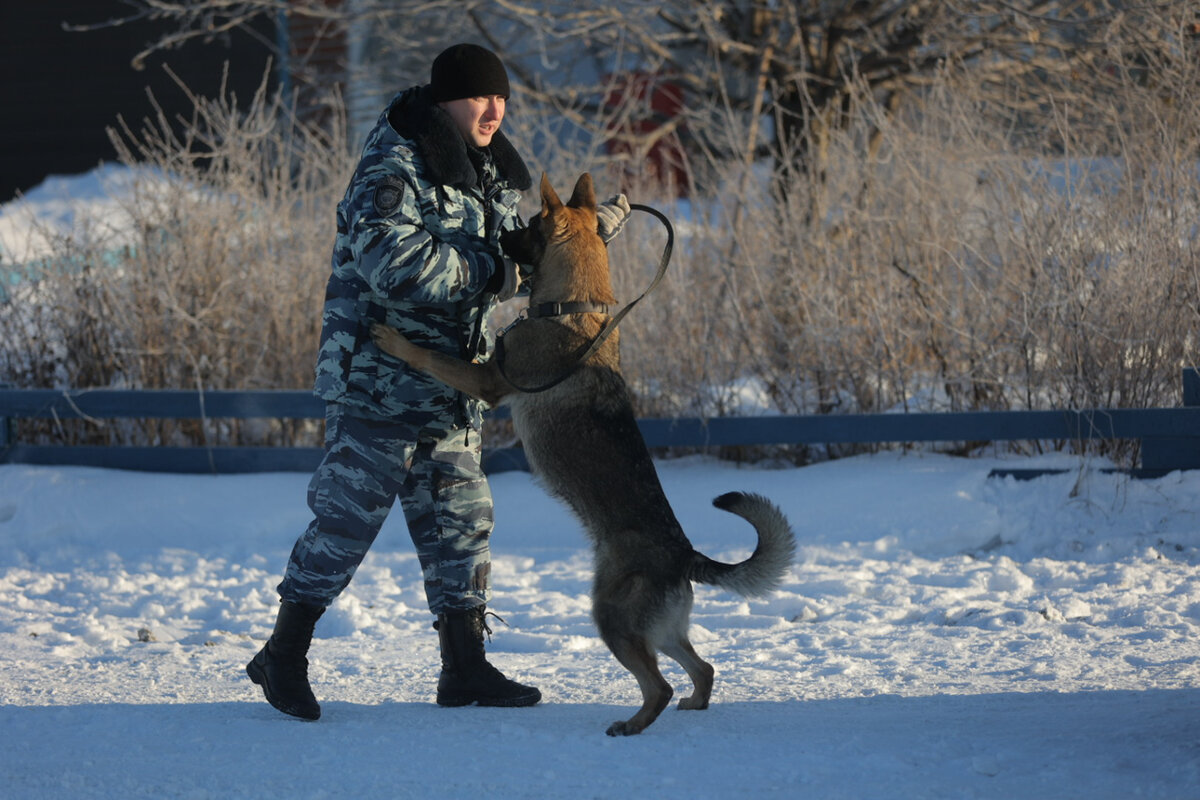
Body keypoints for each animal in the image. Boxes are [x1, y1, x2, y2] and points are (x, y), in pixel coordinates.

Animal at [369, 172, 792, 734]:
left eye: (527, 224)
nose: (498, 236)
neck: (576, 307)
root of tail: (684, 555)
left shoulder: (487, 380)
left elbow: (434, 357)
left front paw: (393, 339)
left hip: (611, 619)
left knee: (660, 685)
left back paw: (631, 725)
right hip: (660, 631)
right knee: (702, 668)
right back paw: (692, 705)